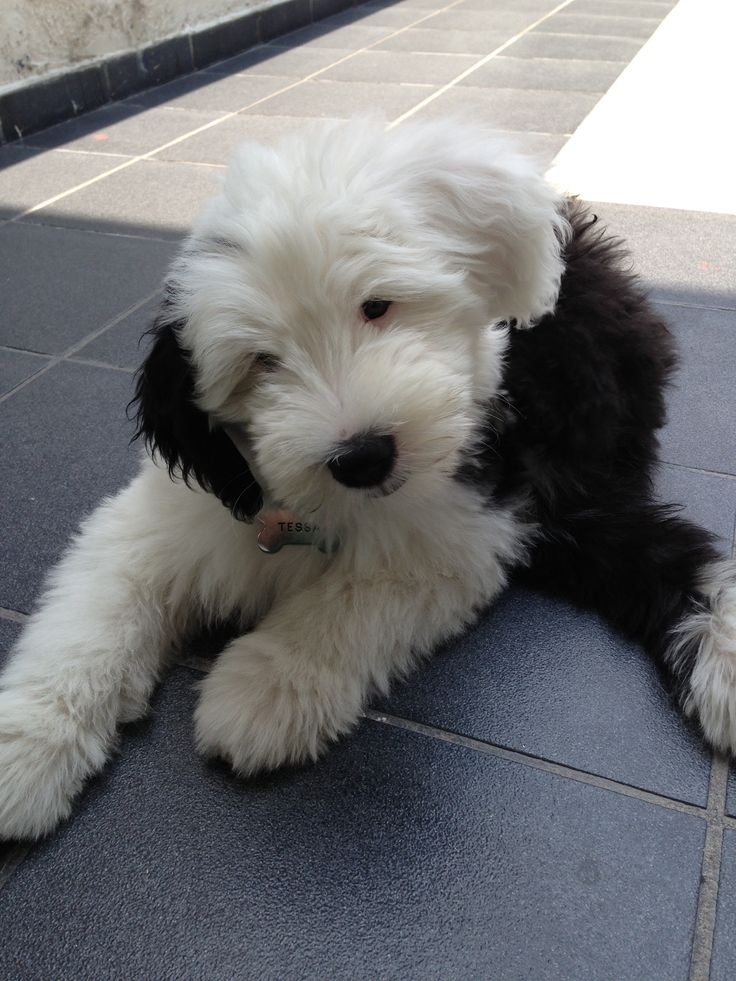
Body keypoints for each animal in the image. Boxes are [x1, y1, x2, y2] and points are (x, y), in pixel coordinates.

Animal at [1, 113, 736, 836]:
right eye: (261, 361)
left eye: (376, 306)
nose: (363, 456)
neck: (314, 511)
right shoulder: (168, 513)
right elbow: (96, 611)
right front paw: (31, 739)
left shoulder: (461, 530)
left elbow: (352, 600)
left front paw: (264, 687)